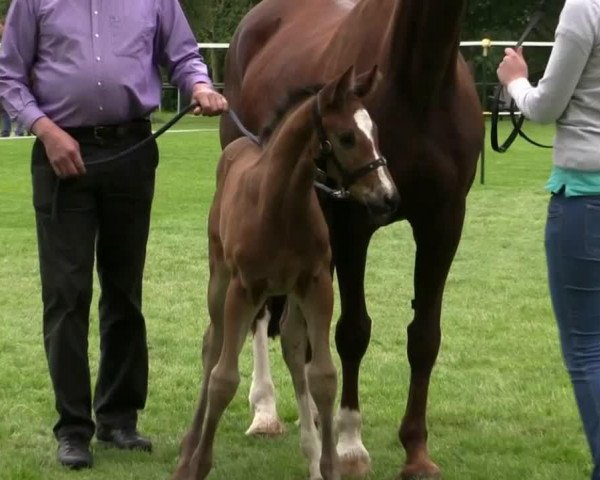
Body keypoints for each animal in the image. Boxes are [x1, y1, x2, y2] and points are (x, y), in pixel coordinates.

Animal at [172, 64, 398, 480]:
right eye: (346, 138)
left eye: (374, 131)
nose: (388, 197)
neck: (279, 203)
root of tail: (237, 148)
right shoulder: (244, 289)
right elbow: (223, 378)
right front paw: (197, 464)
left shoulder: (316, 285)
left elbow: (323, 376)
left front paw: (330, 466)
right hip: (219, 279)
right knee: (213, 345)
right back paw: (189, 447)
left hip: (288, 294)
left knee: (293, 345)